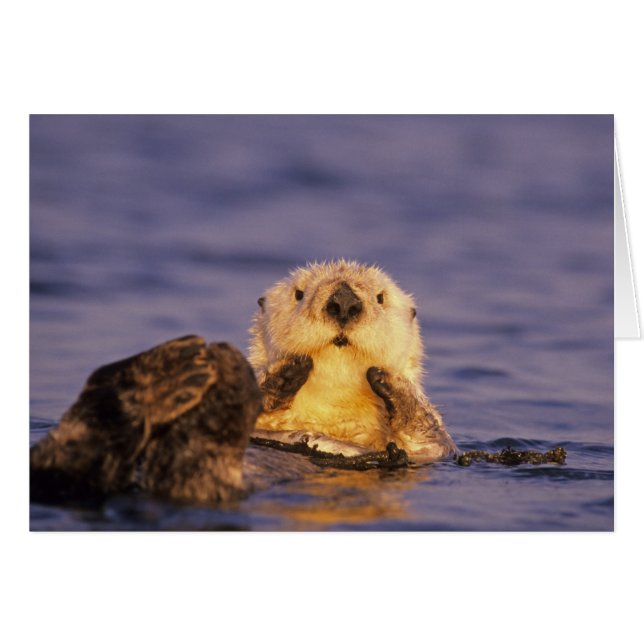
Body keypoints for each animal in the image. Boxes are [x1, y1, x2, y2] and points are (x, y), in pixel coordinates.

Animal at [249, 260, 457, 462]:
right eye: (299, 294)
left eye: (380, 298)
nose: (344, 301)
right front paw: (284, 373)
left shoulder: (428, 452)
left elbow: (434, 442)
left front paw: (390, 381)